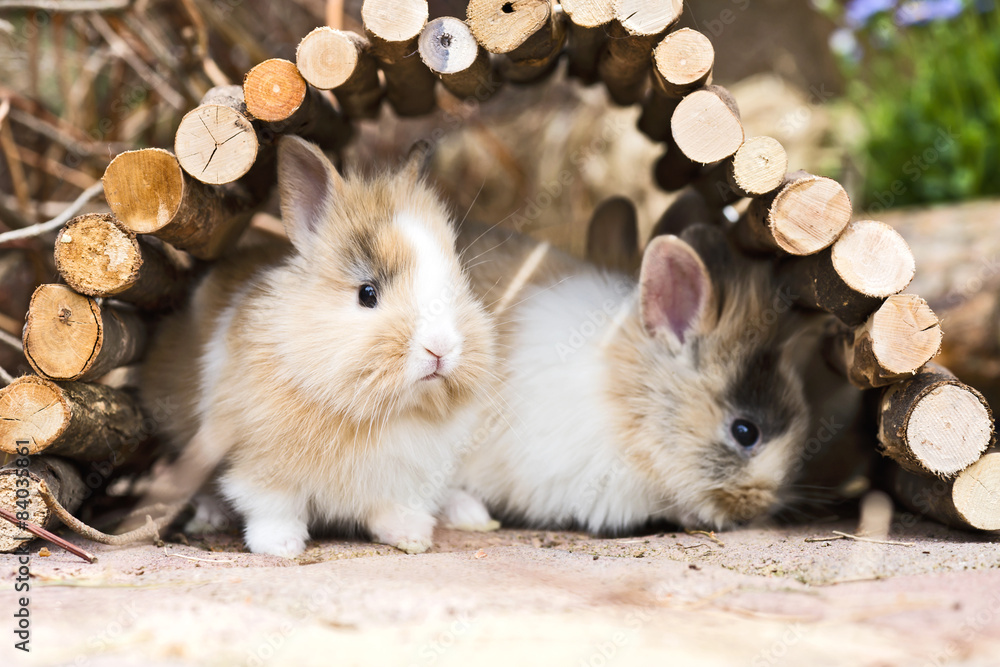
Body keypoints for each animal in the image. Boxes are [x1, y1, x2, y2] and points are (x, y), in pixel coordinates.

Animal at [139, 135, 497, 557]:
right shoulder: (262, 469)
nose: (440, 349)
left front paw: (412, 536)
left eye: (457, 286)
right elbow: (272, 506)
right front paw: (281, 545)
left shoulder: (402, 481)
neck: (378, 413)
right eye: (367, 294)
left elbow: (392, 508)